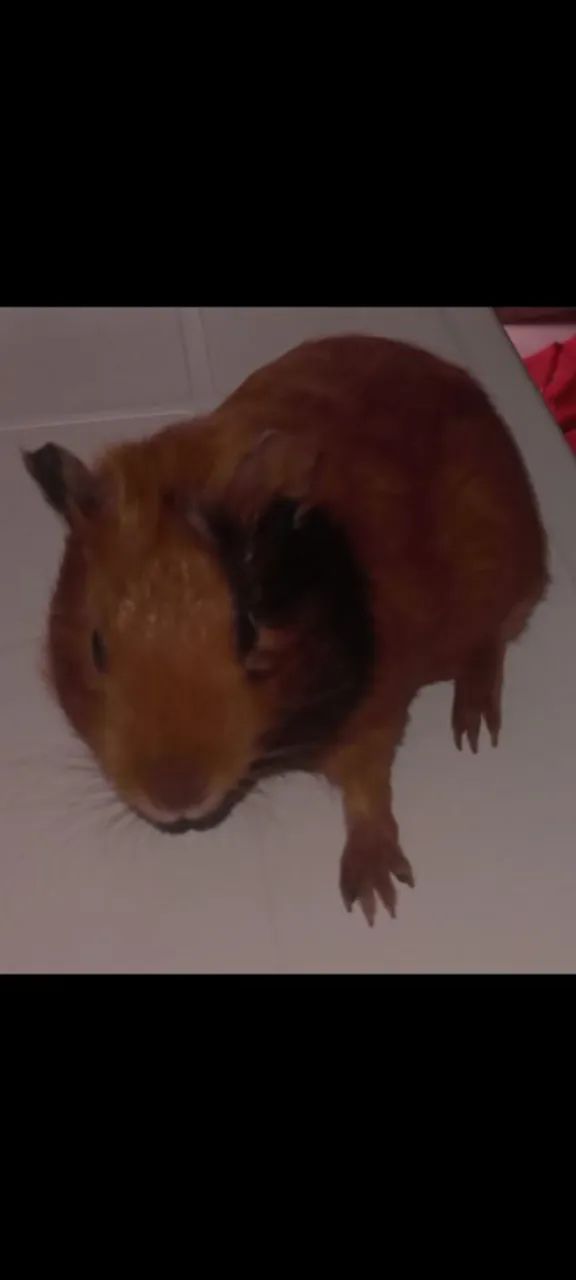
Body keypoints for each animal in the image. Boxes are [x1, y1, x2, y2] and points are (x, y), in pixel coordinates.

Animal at [24, 334, 548, 924]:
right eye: (96, 647)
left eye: (248, 633)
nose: (177, 798)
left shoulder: (376, 719)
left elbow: (369, 794)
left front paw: (374, 901)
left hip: (501, 598)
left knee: (489, 651)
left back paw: (473, 731)